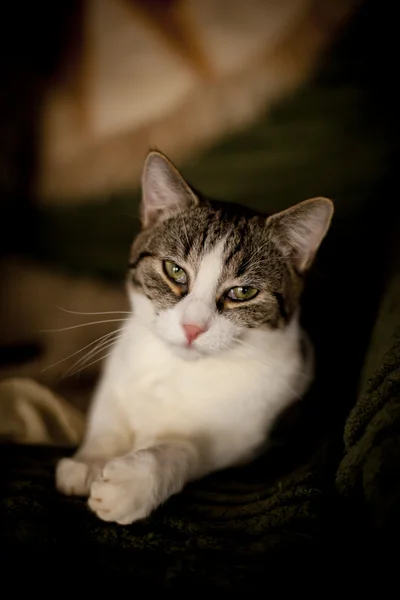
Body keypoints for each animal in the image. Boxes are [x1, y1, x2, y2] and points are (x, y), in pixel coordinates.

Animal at [54, 151, 332, 524]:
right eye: (174, 271)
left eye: (243, 292)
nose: (192, 327)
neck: (179, 370)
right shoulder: (119, 372)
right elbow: (108, 418)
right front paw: (89, 461)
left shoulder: (244, 438)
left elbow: (189, 448)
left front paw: (135, 482)